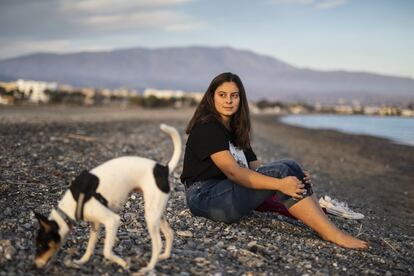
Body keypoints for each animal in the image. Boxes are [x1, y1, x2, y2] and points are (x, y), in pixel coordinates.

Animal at [35, 124, 183, 274]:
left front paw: (124, 263)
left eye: (41, 245)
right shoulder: (95, 225)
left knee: (158, 244)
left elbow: (106, 251)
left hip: (151, 217)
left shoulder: (112, 221)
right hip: (156, 212)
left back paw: (147, 269)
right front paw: (82, 261)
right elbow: (90, 246)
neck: (69, 208)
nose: (35, 264)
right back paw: (164, 256)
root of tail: (163, 169)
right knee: (170, 233)